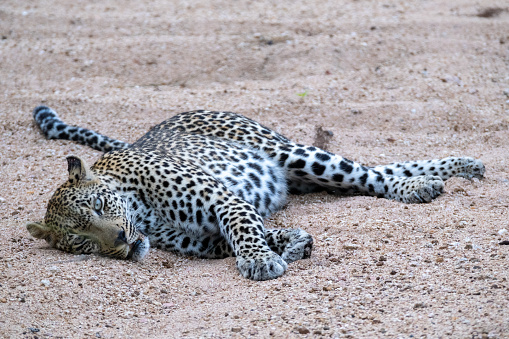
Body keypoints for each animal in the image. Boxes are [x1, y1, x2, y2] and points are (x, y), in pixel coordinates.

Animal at [26, 106, 484, 282]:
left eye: (100, 205)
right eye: (82, 244)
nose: (120, 239)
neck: (142, 214)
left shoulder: (223, 201)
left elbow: (243, 229)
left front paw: (261, 261)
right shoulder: (199, 240)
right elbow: (253, 232)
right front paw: (292, 242)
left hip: (297, 155)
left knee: (370, 174)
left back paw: (435, 179)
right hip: (307, 176)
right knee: (378, 171)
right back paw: (450, 172)